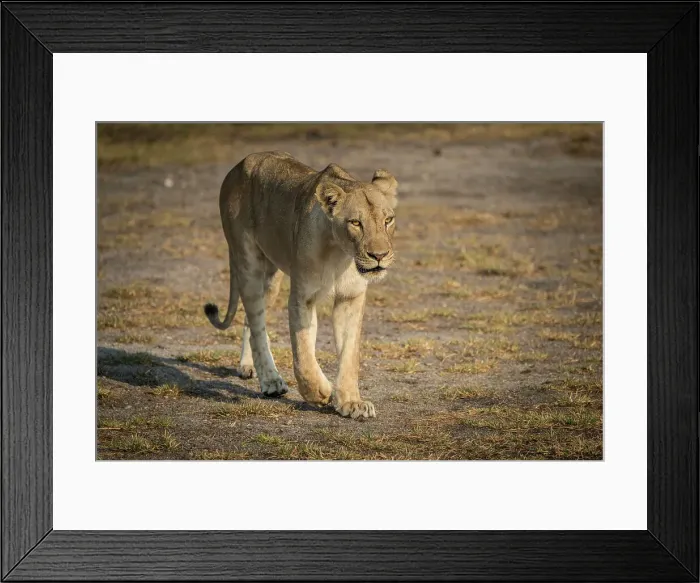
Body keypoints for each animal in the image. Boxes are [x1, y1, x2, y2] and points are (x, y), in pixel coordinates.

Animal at [204, 151, 398, 420]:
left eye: (388, 220)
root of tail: (240, 164)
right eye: (356, 223)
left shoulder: (350, 298)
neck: (340, 253)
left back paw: (249, 366)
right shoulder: (302, 296)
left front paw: (351, 402)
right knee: (256, 323)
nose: (379, 255)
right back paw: (271, 381)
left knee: (251, 322)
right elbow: (303, 353)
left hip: (271, 277)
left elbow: (349, 354)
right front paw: (319, 391)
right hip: (248, 263)